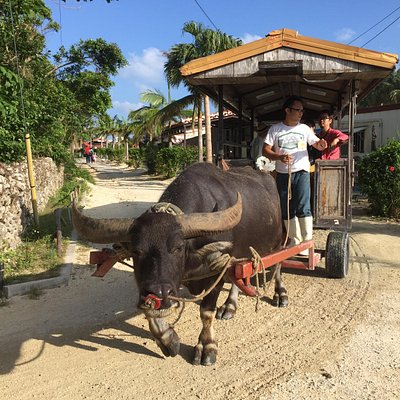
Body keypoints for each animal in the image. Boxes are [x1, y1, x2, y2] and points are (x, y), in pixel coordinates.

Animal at [72, 162, 284, 366]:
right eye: (136, 251)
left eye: (178, 248)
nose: (160, 293)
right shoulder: (149, 285)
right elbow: (150, 312)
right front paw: (169, 339)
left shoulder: (215, 271)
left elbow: (206, 312)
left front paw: (206, 347)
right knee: (238, 275)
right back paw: (229, 306)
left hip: (278, 241)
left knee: (278, 266)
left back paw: (280, 294)